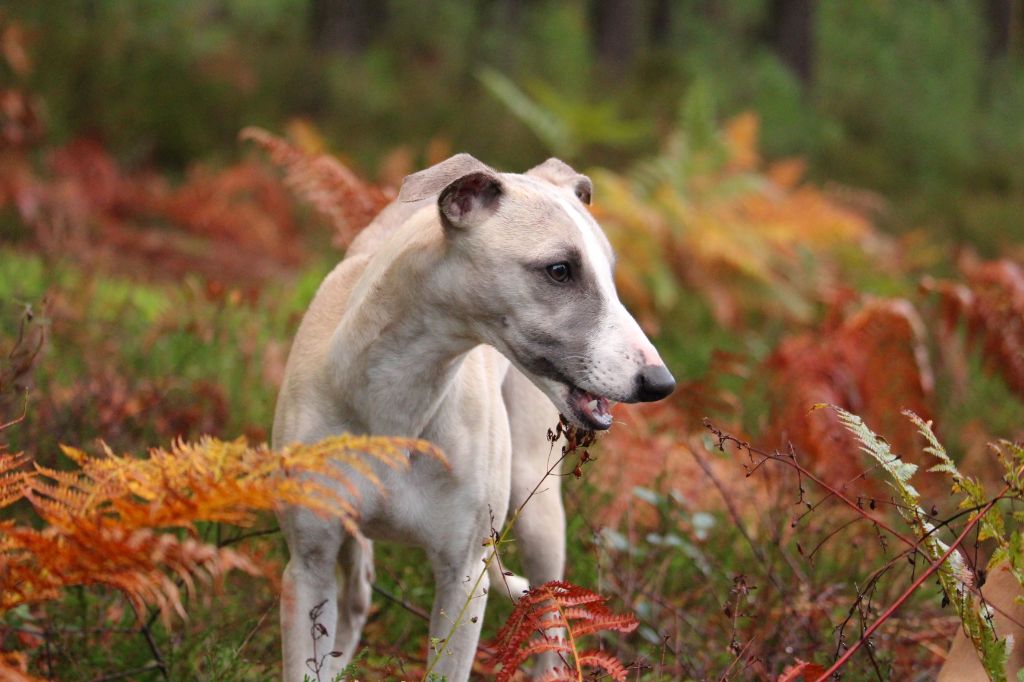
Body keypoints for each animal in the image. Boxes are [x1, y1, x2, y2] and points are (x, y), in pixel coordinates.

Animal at [270, 155, 679, 679]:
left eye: (610, 273)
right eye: (560, 270)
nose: (659, 382)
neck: (396, 400)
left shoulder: (464, 580)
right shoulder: (308, 566)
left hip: (538, 509)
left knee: (550, 617)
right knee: (358, 588)